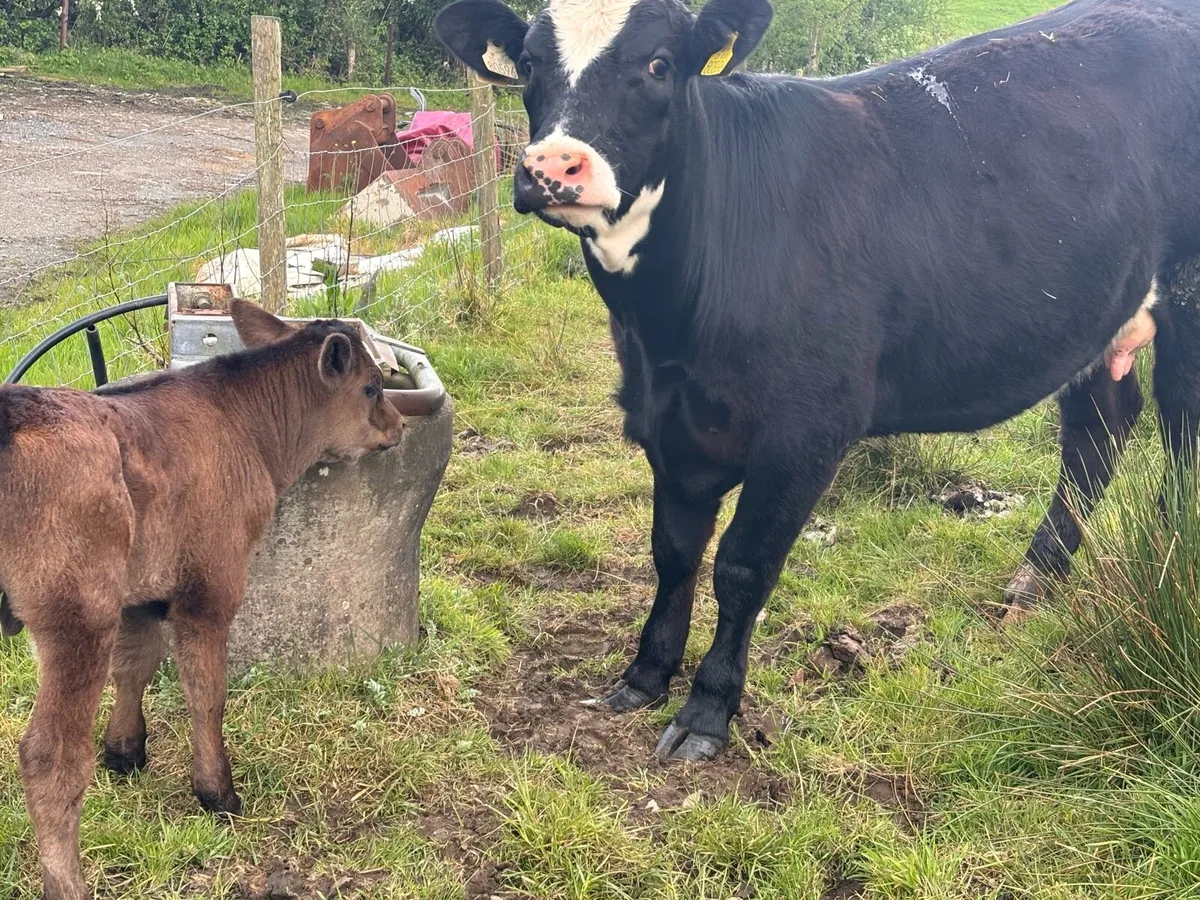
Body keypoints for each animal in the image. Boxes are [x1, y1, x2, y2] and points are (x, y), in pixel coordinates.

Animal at [0, 301, 403, 900]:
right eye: (373, 386)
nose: (399, 425)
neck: (248, 431)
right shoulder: (210, 586)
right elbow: (207, 692)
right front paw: (217, 791)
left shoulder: (139, 593)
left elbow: (136, 665)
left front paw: (125, 752)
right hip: (77, 614)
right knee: (50, 757)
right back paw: (68, 884)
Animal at [435, 0, 1200, 764]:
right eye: (529, 63)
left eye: (658, 65)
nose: (552, 165)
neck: (667, 327)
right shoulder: (667, 422)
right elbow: (673, 554)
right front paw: (645, 674)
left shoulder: (804, 432)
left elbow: (742, 567)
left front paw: (707, 709)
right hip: (1099, 311)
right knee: (1099, 429)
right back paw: (1035, 581)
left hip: (1189, 303)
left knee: (1180, 436)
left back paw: (1169, 560)